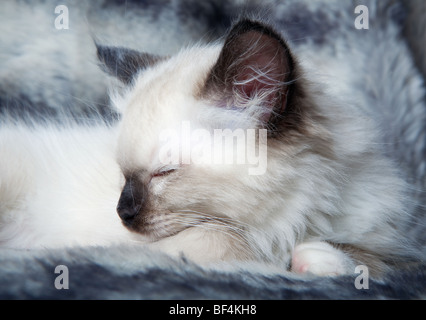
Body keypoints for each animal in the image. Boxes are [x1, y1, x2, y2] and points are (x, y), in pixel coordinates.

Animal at [0, 18, 420, 276]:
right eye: (123, 176)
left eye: (163, 173)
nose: (122, 213)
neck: (296, 219)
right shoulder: (206, 240)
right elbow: (232, 244)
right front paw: (301, 260)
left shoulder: (392, 251)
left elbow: (367, 259)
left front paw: (320, 259)